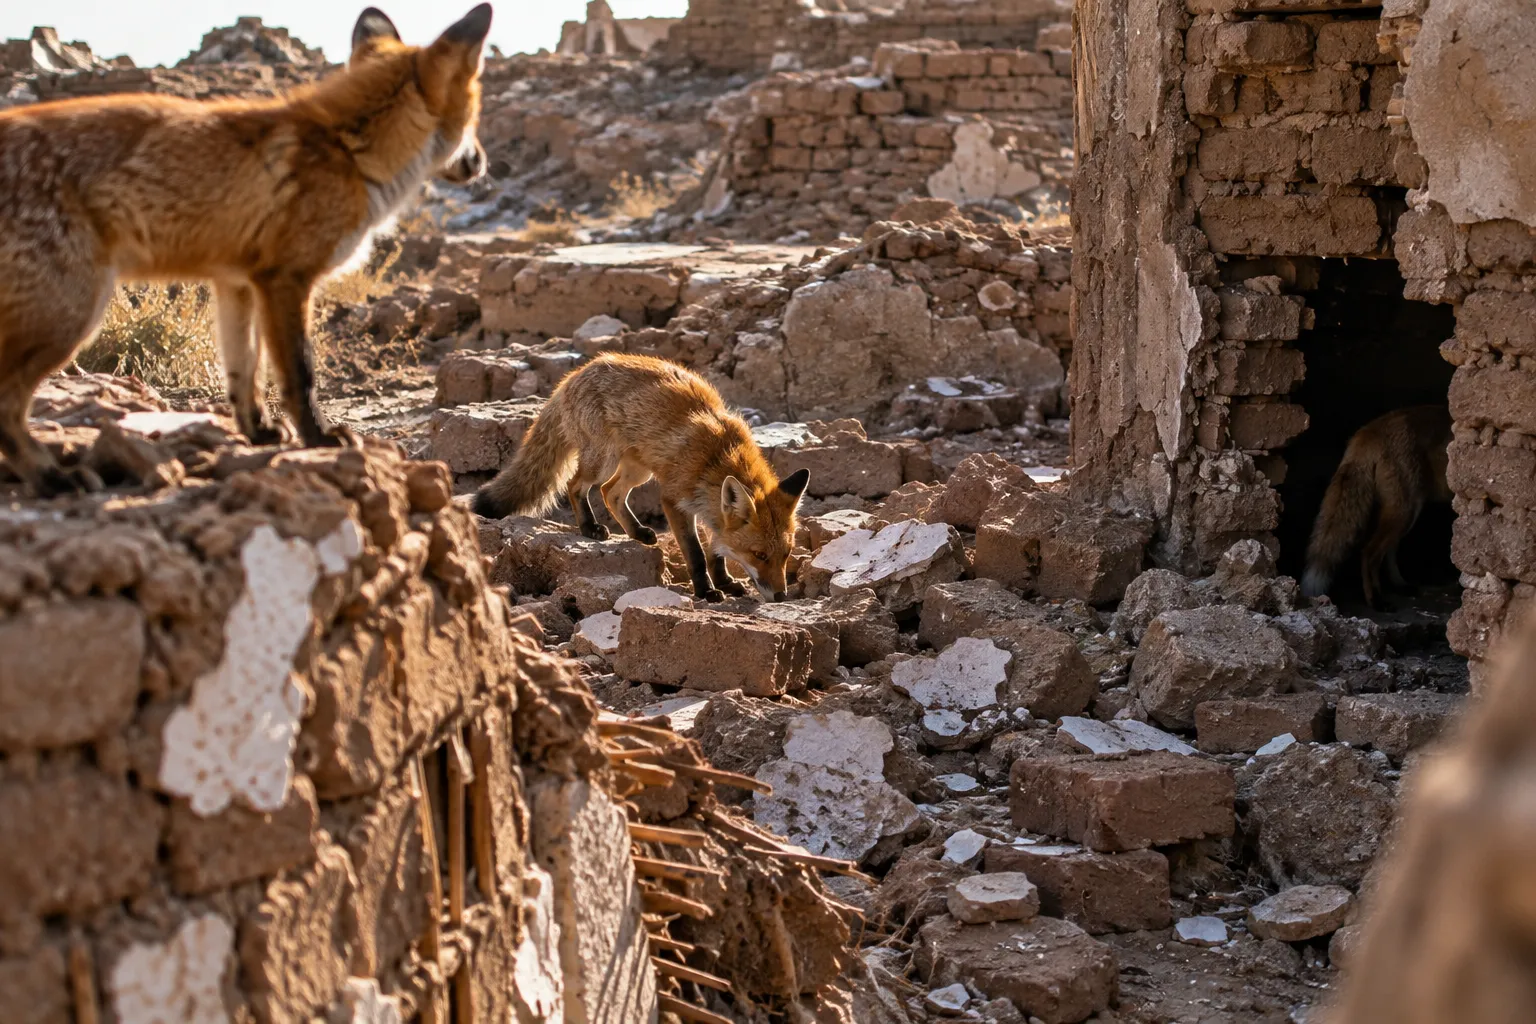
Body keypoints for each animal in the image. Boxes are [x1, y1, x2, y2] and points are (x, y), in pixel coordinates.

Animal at [0, 5, 493, 497]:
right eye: (474, 120)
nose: (480, 161)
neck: (349, 148)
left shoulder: (236, 282)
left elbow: (244, 368)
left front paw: (258, 432)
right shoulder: (286, 279)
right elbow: (299, 373)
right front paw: (319, 438)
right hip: (71, 312)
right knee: (8, 403)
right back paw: (50, 476)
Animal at [472, 353, 811, 603]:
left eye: (786, 554)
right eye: (759, 554)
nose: (781, 596)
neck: (717, 457)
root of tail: (576, 374)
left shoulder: (711, 507)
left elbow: (716, 550)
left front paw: (725, 582)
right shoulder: (674, 499)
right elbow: (696, 554)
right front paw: (706, 591)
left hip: (638, 469)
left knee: (610, 492)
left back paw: (636, 532)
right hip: (604, 461)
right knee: (576, 485)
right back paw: (589, 527)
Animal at [1301, 405, 1454, 609]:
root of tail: (1369, 430)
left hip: (1404, 511)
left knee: (1388, 551)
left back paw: (1398, 586)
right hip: (1405, 510)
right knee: (1369, 553)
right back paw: (1375, 601)